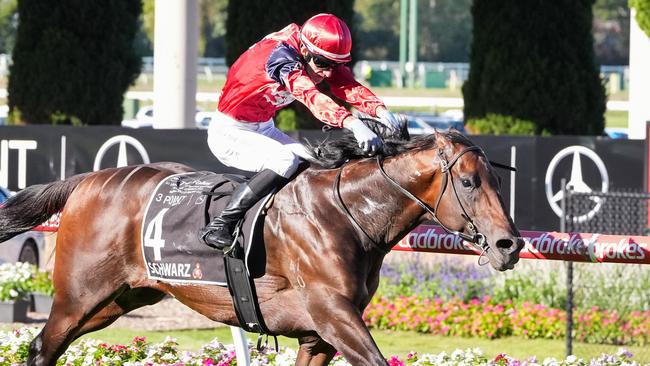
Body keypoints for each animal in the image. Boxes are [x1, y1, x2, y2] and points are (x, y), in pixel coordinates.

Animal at [0, 127, 520, 364]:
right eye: (469, 182)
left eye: (497, 180)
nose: (509, 245)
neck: (346, 214)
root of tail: (86, 180)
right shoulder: (334, 315)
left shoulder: (318, 333)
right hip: (77, 297)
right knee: (41, 348)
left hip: (117, 299)